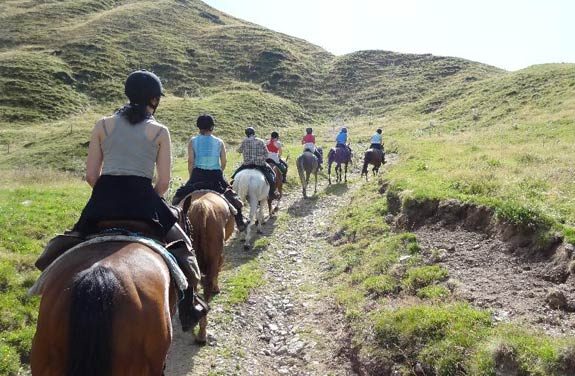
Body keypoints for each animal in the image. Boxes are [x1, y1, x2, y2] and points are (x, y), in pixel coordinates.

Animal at [183, 191, 235, 344]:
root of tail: (202, 208)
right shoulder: (220, 256)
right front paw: (217, 289)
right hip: (215, 255)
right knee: (207, 285)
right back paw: (202, 334)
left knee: (195, 288)